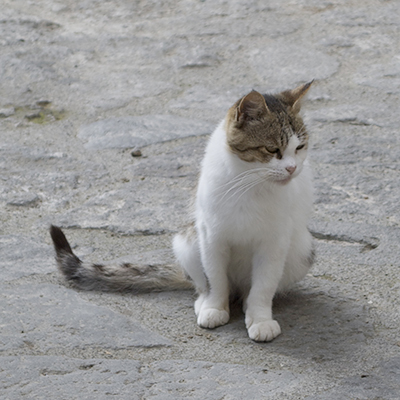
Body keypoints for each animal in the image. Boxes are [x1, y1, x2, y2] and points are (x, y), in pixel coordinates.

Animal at [50, 80, 314, 340]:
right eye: (272, 150)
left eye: (300, 147)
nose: (292, 168)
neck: (249, 183)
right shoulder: (211, 237)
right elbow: (215, 278)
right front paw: (214, 307)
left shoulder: (274, 242)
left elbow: (264, 285)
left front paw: (260, 319)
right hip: (187, 242)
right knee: (203, 282)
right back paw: (204, 300)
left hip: (301, 250)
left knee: (252, 288)